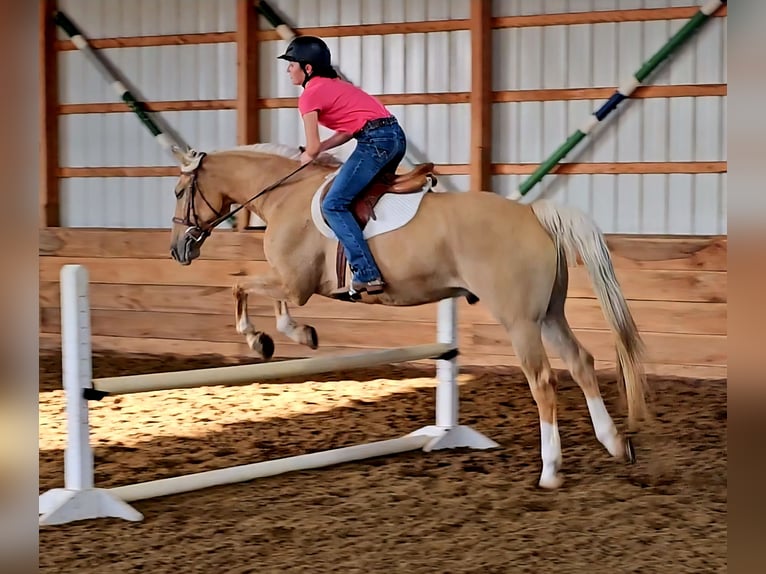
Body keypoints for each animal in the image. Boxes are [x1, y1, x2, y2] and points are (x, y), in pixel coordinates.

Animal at [168, 143, 648, 489]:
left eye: (177, 192)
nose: (178, 250)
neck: (285, 195)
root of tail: (533, 213)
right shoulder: (291, 283)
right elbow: (260, 296)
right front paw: (294, 336)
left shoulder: (293, 283)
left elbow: (243, 289)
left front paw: (265, 338)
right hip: (548, 314)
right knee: (581, 363)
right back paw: (615, 444)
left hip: (521, 322)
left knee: (544, 382)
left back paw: (550, 471)